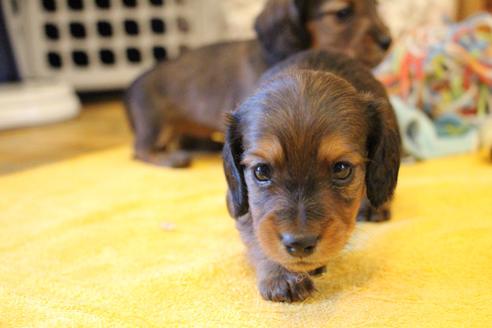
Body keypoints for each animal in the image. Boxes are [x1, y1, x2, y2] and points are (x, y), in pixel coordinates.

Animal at [126, 0, 392, 168]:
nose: (388, 41)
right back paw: (169, 158)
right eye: (343, 13)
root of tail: (132, 85)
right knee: (140, 150)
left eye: (376, 5)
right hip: (157, 126)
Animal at [223, 50, 400, 304]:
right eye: (261, 171)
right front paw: (282, 275)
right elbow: (257, 234)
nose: (299, 244)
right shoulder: (244, 204)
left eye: (342, 169)